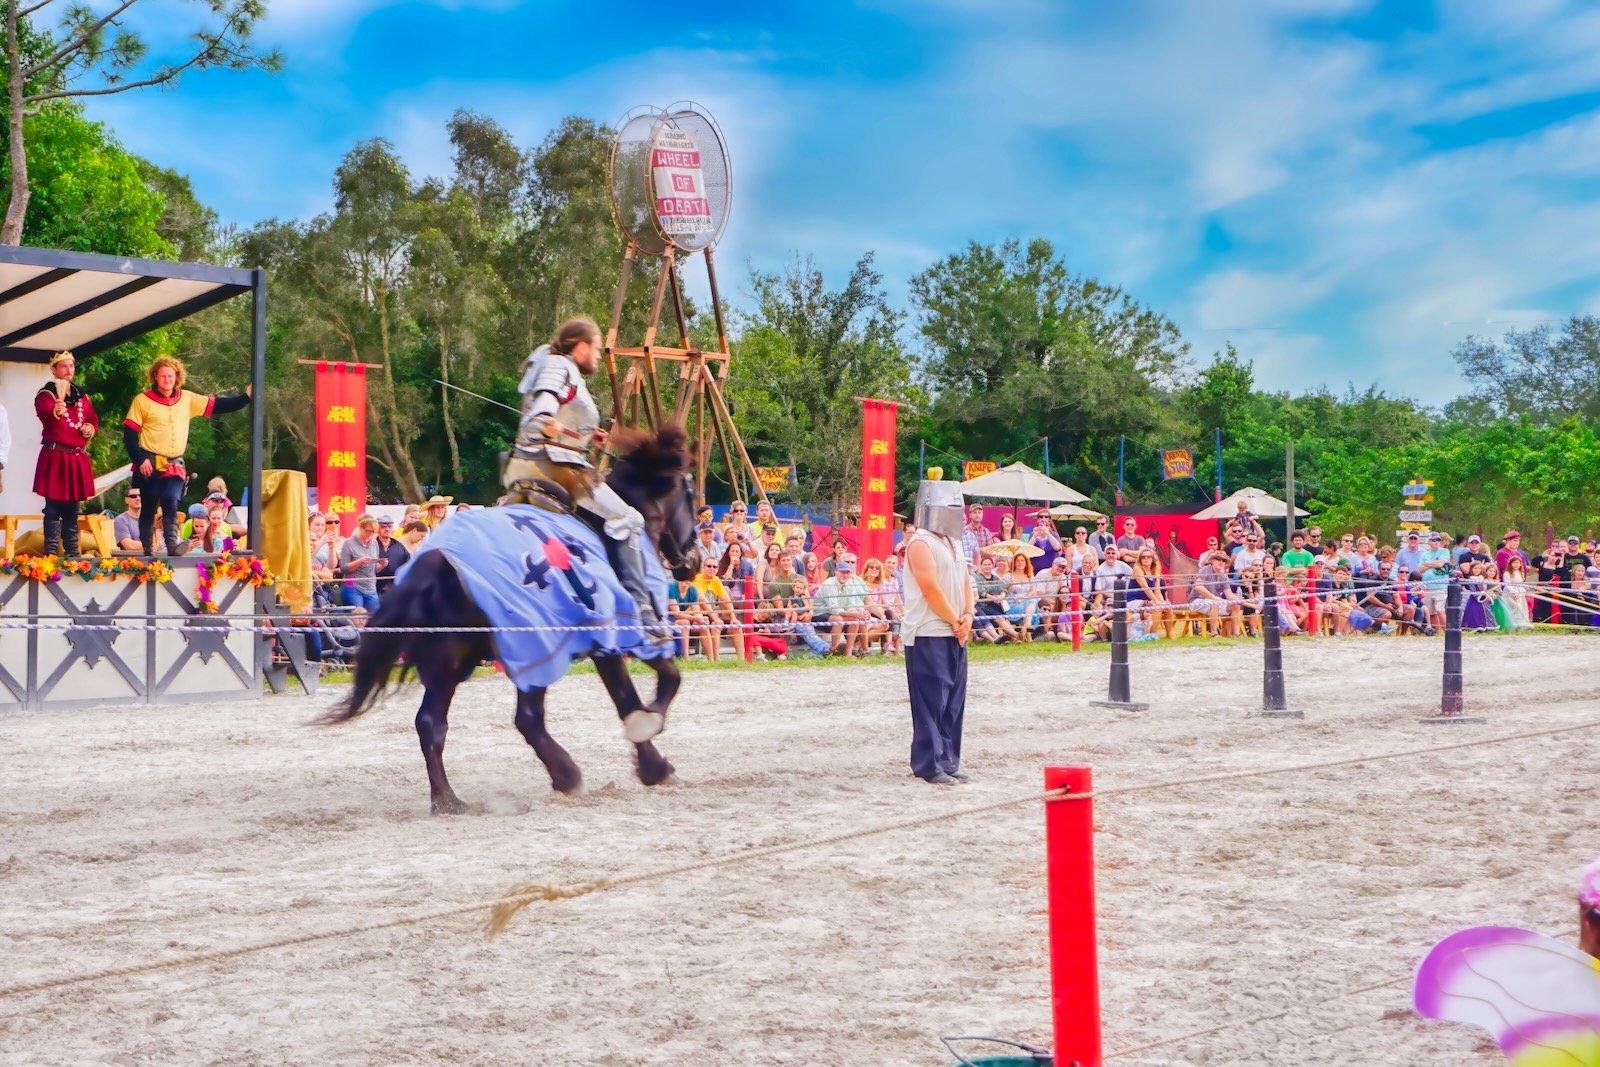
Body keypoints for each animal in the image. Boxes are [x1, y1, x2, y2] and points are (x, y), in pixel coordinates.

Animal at [318, 426, 701, 814]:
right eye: (692, 497)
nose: (694, 560)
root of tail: (435, 563)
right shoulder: (614, 639)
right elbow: (643, 693)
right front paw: (654, 756)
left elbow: (656, 686)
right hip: (528, 647)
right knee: (526, 719)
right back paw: (566, 776)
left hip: (450, 660)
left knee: (432, 723)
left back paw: (448, 799)